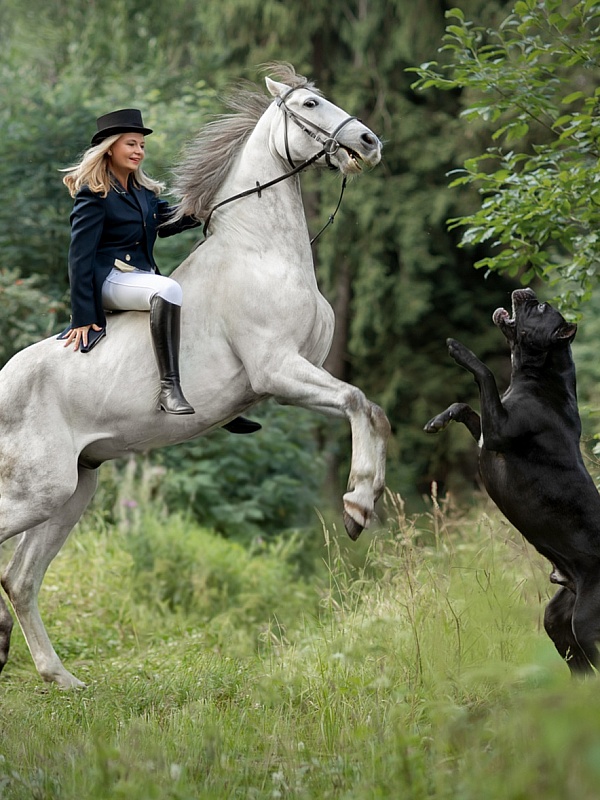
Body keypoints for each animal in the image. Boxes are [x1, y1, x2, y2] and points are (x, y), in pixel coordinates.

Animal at [0, 64, 390, 688]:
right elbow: (358, 401)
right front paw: (357, 503)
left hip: (71, 490)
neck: (260, 251)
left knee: (21, 577)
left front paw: (364, 501)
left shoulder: (294, 378)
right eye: (310, 104)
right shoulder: (280, 372)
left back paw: (60, 677)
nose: (369, 143)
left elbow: (369, 408)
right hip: (39, 491)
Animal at [424, 288, 600, 676]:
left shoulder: (499, 432)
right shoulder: (488, 433)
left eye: (541, 308)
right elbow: (465, 407)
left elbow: (485, 373)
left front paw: (460, 351)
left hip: (586, 621)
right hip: (558, 617)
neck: (539, 376)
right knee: (576, 660)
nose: (528, 291)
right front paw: (439, 420)